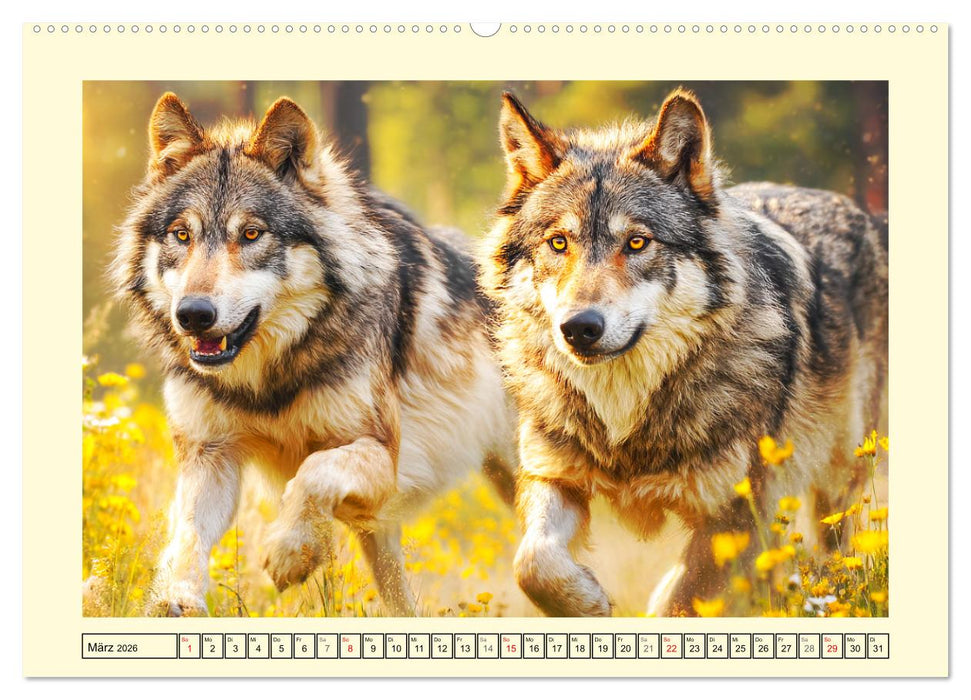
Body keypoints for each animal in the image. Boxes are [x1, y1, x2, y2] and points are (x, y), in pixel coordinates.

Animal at [112, 93, 516, 616]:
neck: (266, 382)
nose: (194, 315)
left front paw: (290, 553)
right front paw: (175, 600)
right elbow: (187, 536)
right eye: (182, 235)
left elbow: (313, 473)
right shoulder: (209, 457)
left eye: (251, 234)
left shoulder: (383, 458)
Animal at [481, 89, 888, 616]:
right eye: (558, 243)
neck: (627, 416)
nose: (579, 329)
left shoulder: (733, 514)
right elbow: (532, 563)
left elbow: (681, 604)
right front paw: (587, 603)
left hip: (837, 486)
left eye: (637, 242)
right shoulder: (551, 476)